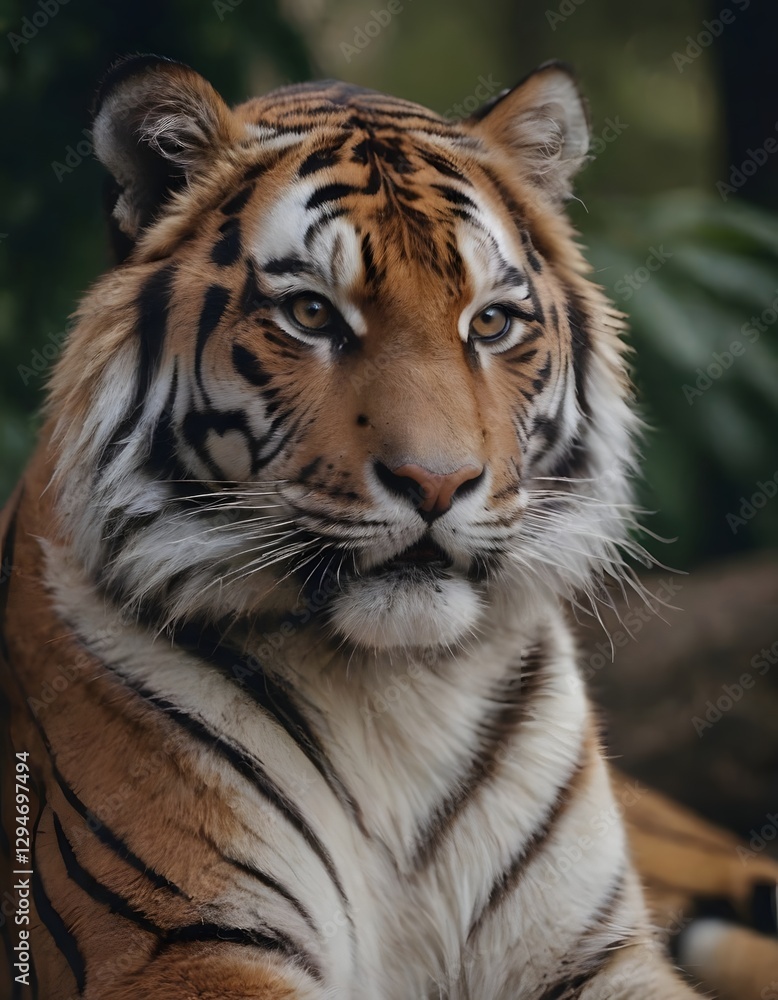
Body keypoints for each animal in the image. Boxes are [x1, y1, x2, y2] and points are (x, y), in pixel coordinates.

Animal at [1, 52, 775, 999]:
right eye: (311, 314)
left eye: (491, 322)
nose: (436, 484)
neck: (397, 691)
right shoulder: (181, 944)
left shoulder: (594, 951)